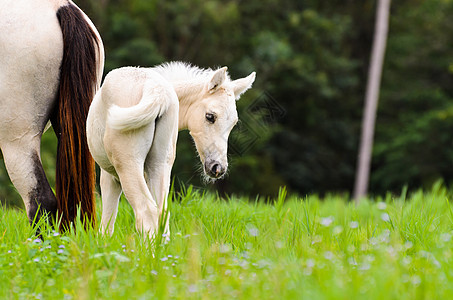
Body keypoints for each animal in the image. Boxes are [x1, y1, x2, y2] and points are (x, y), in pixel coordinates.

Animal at [85, 61, 254, 239]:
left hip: (128, 164)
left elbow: (107, 221)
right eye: (210, 116)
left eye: (233, 123)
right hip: (159, 164)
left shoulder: (110, 177)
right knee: (162, 213)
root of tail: (157, 90)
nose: (218, 168)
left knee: (147, 211)